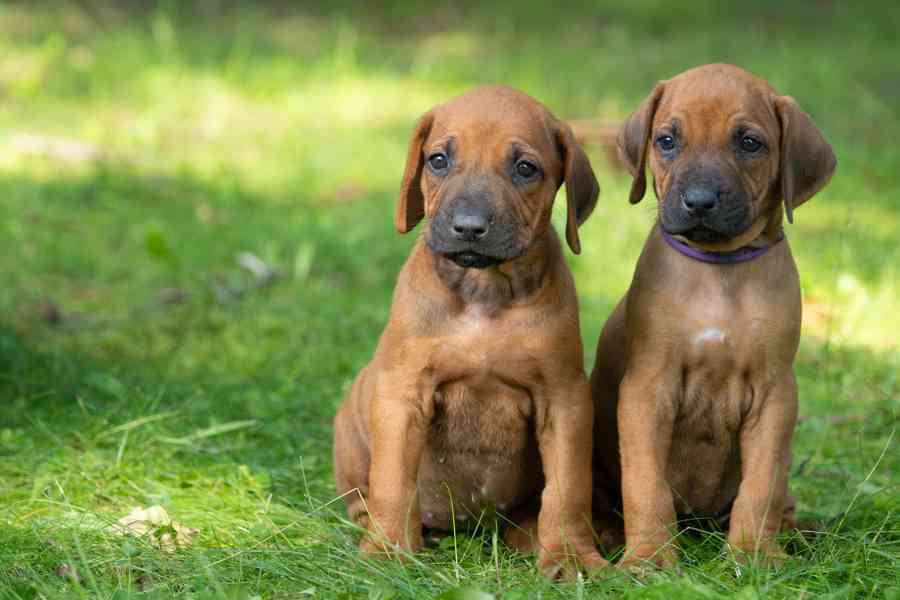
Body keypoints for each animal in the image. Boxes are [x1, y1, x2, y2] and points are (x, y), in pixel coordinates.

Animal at [334, 84, 608, 576]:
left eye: (525, 168)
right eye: (438, 160)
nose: (468, 227)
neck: (484, 290)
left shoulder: (565, 400)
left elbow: (567, 489)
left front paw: (570, 555)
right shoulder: (403, 393)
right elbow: (392, 481)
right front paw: (388, 552)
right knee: (365, 498)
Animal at [592, 63, 836, 568]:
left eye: (750, 143)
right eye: (667, 140)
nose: (700, 200)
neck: (719, 272)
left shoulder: (775, 395)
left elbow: (760, 486)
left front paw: (753, 555)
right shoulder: (647, 389)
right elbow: (645, 483)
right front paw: (649, 557)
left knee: (779, 495)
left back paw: (799, 535)